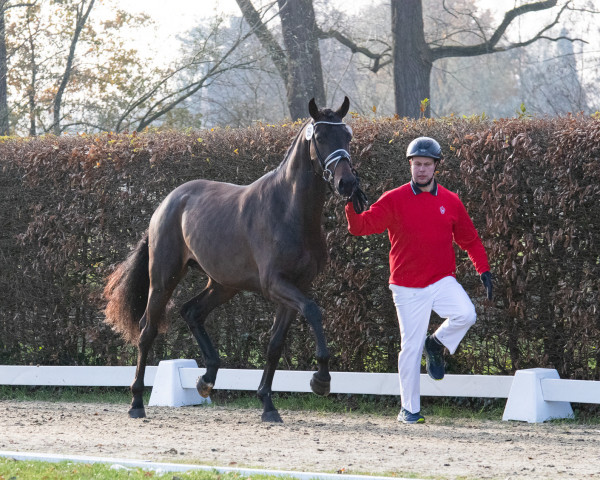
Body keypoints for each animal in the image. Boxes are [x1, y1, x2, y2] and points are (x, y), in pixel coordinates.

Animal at [103, 95, 364, 422]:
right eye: (320, 136)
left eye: (347, 136)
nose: (347, 184)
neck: (290, 211)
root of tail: (166, 203)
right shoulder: (276, 285)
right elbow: (314, 311)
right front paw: (321, 380)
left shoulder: (296, 287)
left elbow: (275, 344)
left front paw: (267, 404)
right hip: (164, 279)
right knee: (146, 330)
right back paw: (137, 402)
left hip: (223, 284)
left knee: (192, 312)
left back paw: (206, 378)